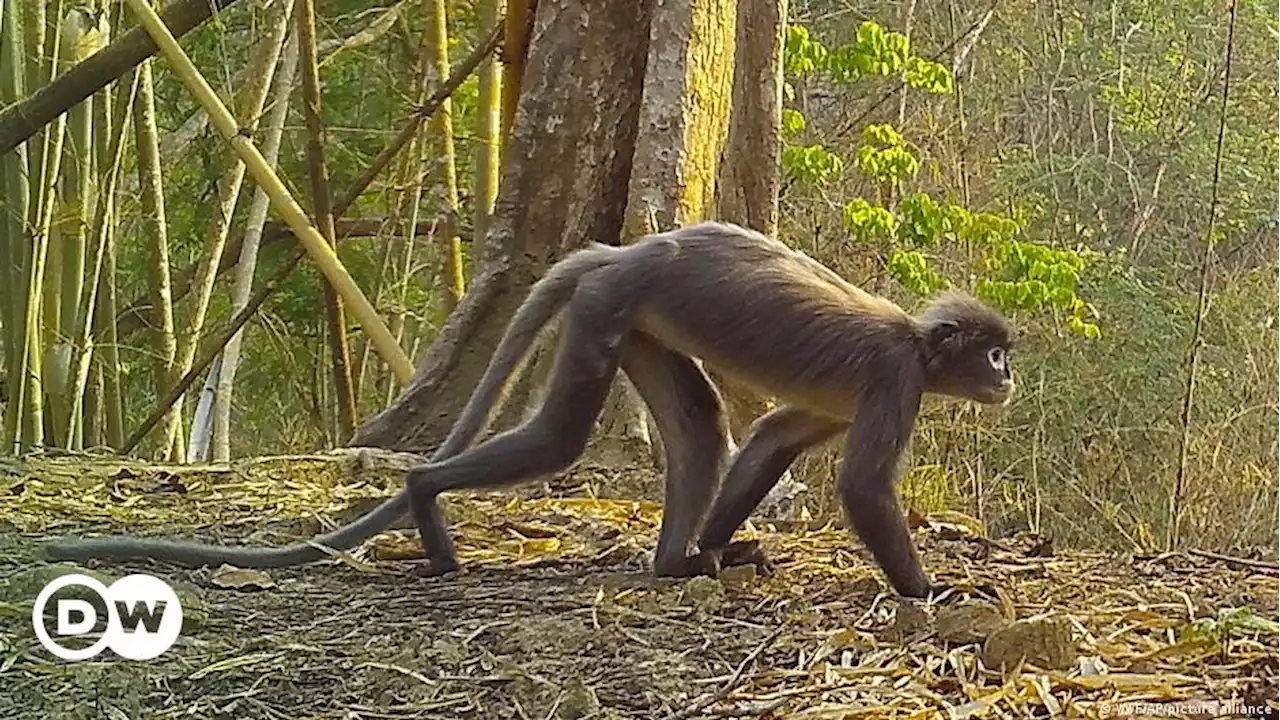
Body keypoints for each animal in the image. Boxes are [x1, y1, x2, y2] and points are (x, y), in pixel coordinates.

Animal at [47, 220, 1018, 599]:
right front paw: (933, 591)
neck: (918, 344)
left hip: (630, 319)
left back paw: (677, 563)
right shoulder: (895, 378)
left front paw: (718, 548)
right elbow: (860, 488)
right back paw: (428, 499)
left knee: (700, 427)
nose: (1008, 377)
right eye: (994, 352)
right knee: (559, 439)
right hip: (610, 308)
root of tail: (627, 250)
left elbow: (775, 434)